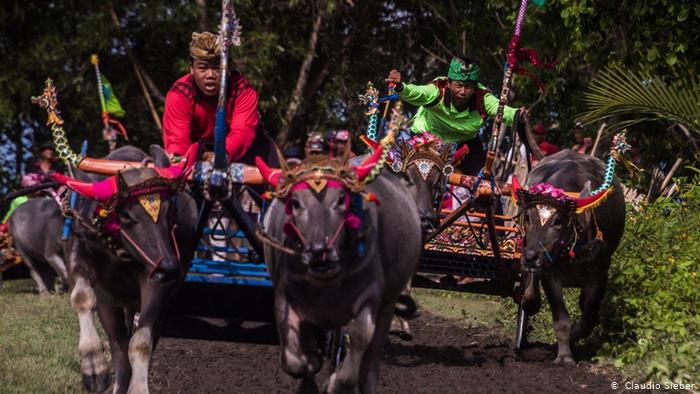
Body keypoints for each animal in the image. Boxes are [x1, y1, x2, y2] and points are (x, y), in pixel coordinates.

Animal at [53, 145, 197, 394]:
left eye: (169, 209)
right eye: (126, 214)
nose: (170, 268)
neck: (119, 251)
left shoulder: (155, 283)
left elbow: (141, 343)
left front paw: (138, 388)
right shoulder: (78, 261)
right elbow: (82, 298)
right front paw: (94, 368)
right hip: (110, 305)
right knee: (118, 347)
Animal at [258, 145, 422, 394]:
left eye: (341, 199)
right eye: (295, 202)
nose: (319, 251)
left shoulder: (370, 298)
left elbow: (360, 336)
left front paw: (335, 382)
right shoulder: (285, 295)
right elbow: (294, 361)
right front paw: (311, 364)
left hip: (388, 305)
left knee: (370, 363)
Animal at [516, 149, 624, 364]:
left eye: (558, 220)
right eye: (529, 217)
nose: (531, 256)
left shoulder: (599, 273)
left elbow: (588, 319)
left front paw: (573, 336)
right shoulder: (549, 274)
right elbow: (561, 320)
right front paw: (564, 356)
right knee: (530, 292)